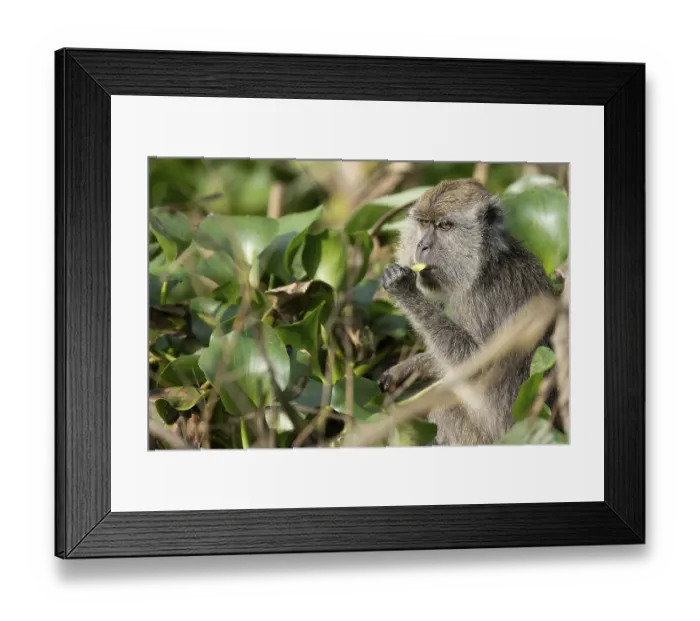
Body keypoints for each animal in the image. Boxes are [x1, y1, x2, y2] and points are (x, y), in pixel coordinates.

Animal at [379, 178, 555, 446]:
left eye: (444, 226)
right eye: (424, 223)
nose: (422, 245)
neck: (484, 264)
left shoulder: (484, 299)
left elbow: (476, 365)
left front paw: (404, 289)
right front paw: (407, 369)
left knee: (447, 411)